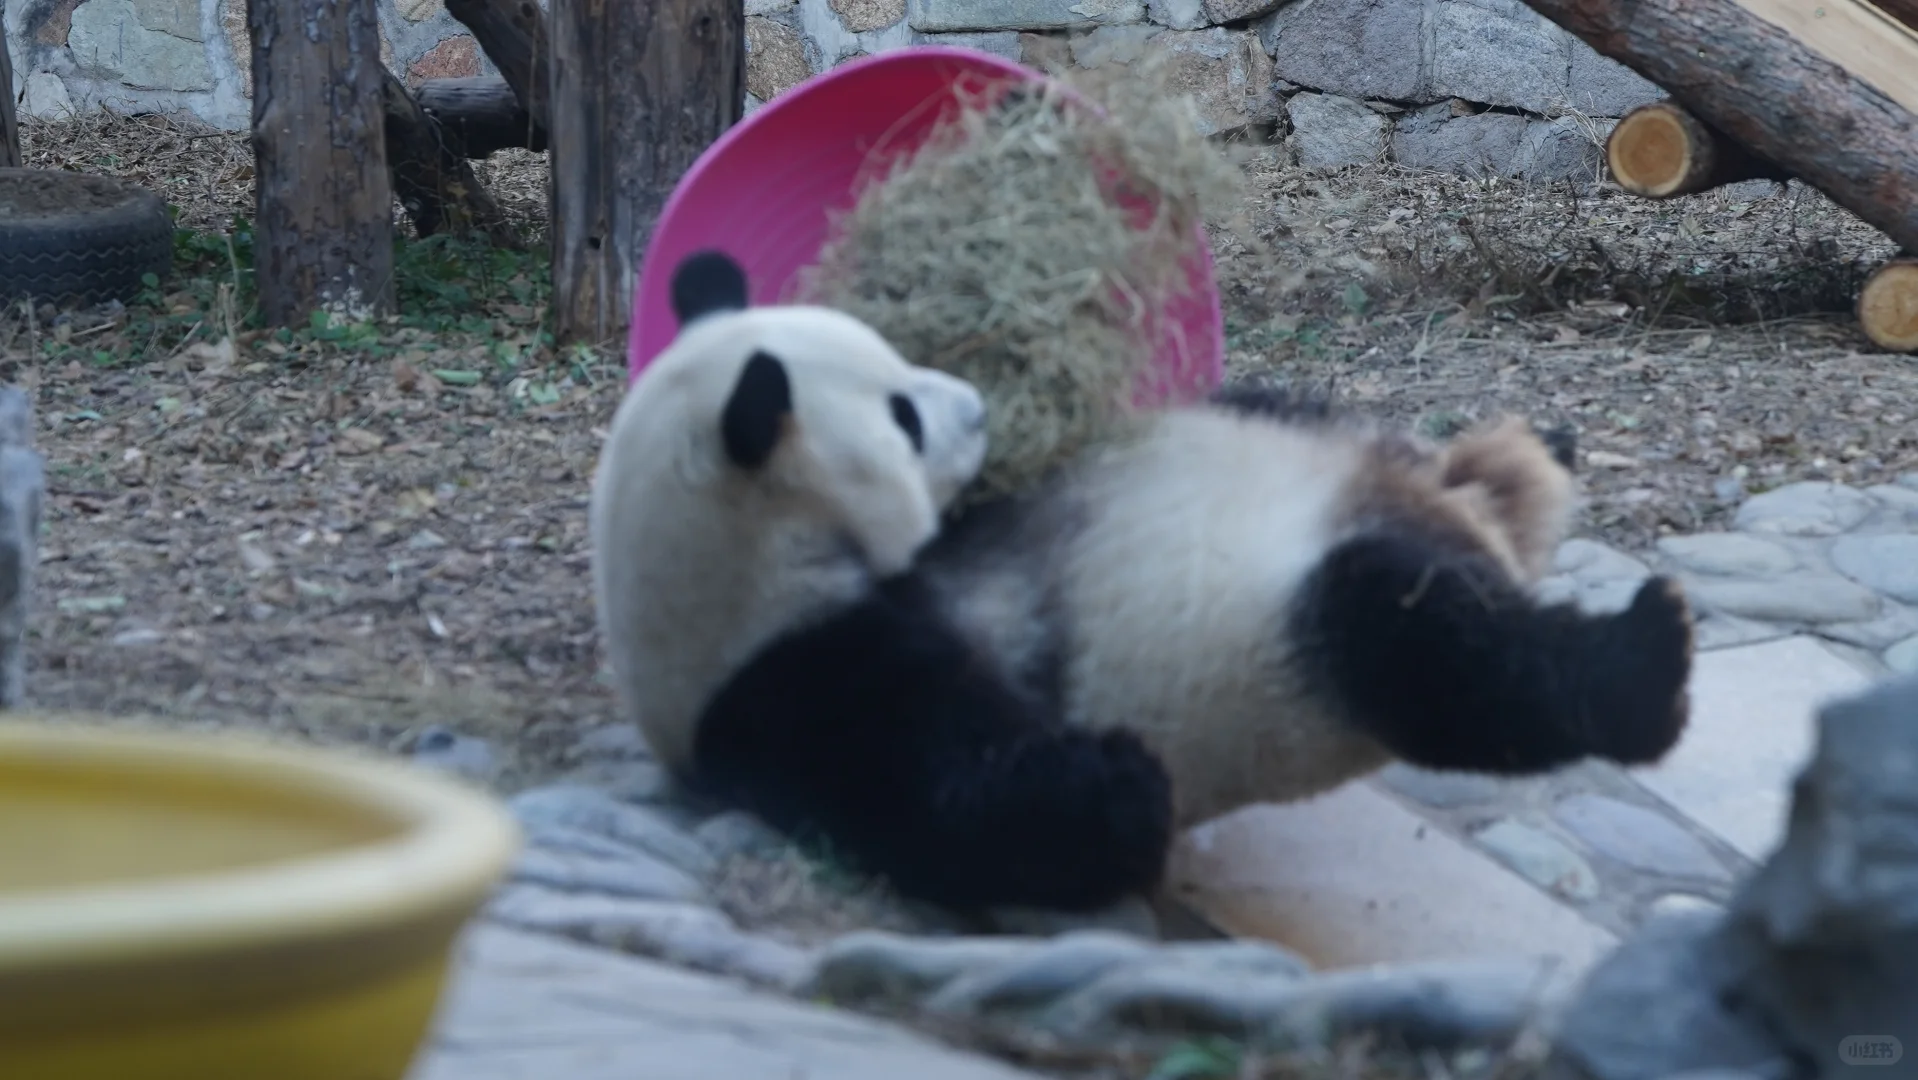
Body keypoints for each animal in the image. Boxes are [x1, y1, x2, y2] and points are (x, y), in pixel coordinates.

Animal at [590, 249, 1703, 916]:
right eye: (899, 416)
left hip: (1323, 444)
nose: (978, 406)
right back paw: (1645, 657)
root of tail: (1475, 524)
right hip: (1321, 635)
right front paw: (1126, 785)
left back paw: (1540, 449)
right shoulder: (796, 679)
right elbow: (957, 790)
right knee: (1440, 655)